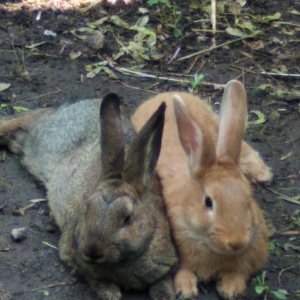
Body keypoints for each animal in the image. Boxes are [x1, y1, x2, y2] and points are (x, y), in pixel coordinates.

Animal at [0, 94, 178, 300]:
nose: (93, 251)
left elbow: (162, 283)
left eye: (127, 218)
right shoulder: (72, 256)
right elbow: (93, 279)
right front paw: (111, 293)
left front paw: (165, 294)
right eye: (87, 208)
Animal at [130, 81, 270, 298]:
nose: (236, 242)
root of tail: (166, 93)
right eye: (208, 202)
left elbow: (238, 274)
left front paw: (230, 289)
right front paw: (186, 290)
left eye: (249, 199)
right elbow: (184, 272)